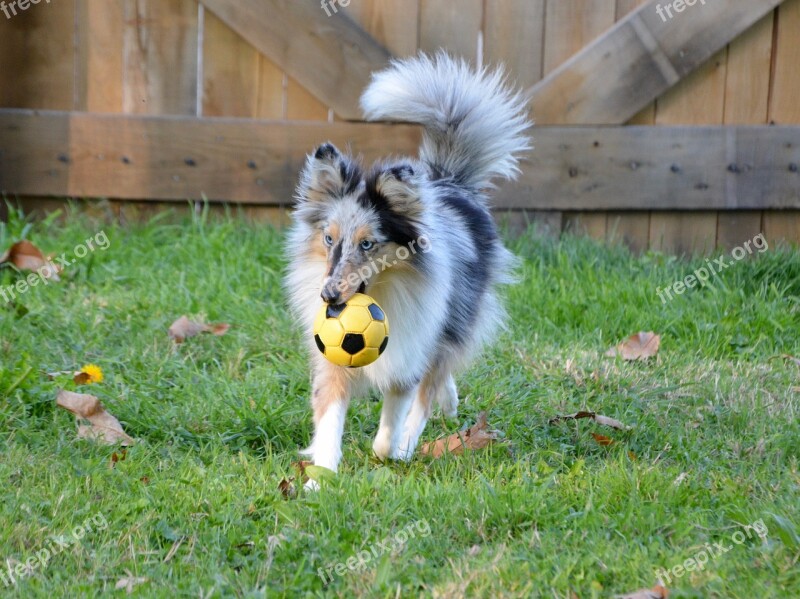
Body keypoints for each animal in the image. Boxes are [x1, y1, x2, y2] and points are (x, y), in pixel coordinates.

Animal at [284, 52, 528, 478]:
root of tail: (449, 181)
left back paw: (418, 432)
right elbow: (329, 419)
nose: (328, 297)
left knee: (435, 378)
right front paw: (321, 478)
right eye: (329, 239)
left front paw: (393, 449)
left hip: (455, 318)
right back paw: (449, 401)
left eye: (368, 244)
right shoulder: (331, 362)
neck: (383, 294)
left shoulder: (407, 355)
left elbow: (397, 417)